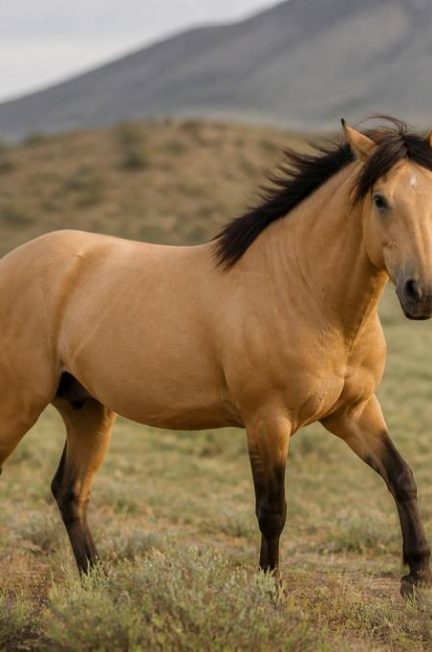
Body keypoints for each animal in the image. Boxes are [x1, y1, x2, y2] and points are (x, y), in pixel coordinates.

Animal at [1, 117, 432, 596]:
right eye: (380, 200)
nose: (421, 292)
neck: (302, 289)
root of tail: (14, 260)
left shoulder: (354, 411)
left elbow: (402, 477)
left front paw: (415, 577)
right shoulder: (268, 421)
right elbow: (272, 510)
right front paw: (269, 591)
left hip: (87, 409)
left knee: (70, 491)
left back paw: (100, 583)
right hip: (18, 404)